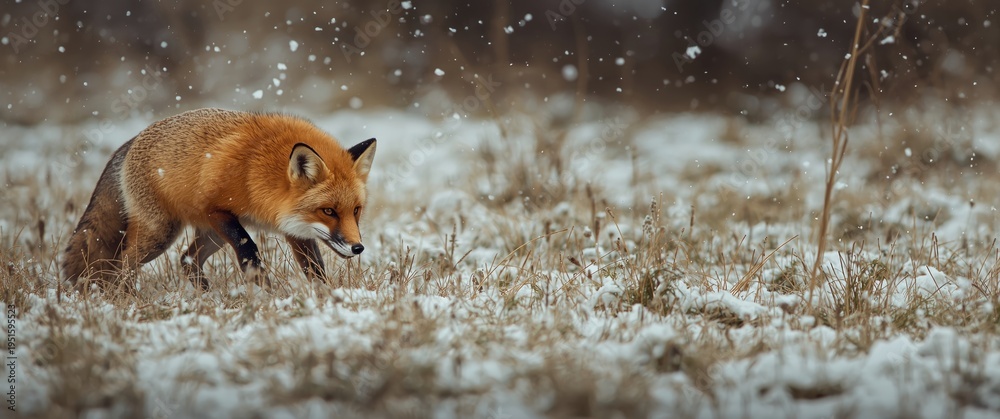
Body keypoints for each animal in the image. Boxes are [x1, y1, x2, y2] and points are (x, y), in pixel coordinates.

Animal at [62, 107, 377, 292]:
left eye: (356, 210)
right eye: (329, 211)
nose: (357, 247)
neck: (257, 170)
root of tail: (131, 141)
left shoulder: (294, 228)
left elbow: (315, 268)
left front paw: (325, 298)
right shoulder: (217, 211)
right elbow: (249, 248)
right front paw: (266, 292)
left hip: (208, 236)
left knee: (186, 260)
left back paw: (206, 296)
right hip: (162, 233)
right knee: (124, 263)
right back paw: (126, 297)